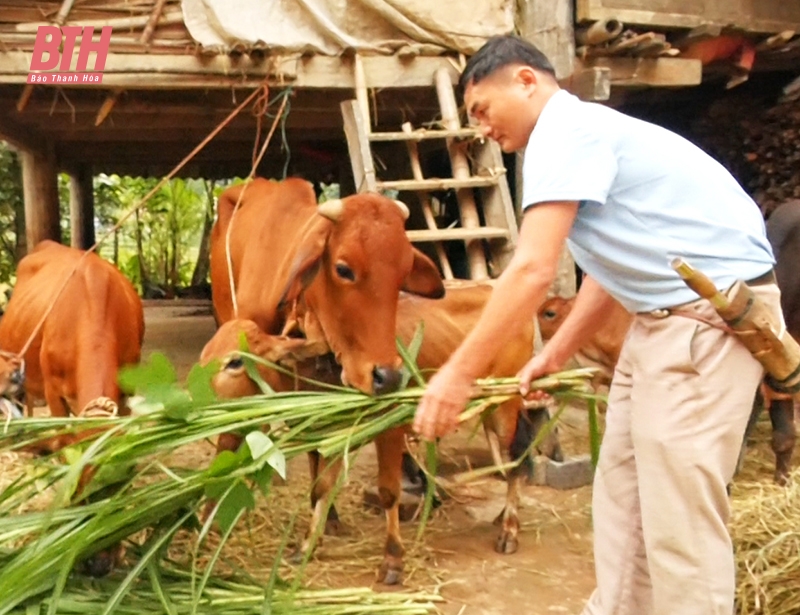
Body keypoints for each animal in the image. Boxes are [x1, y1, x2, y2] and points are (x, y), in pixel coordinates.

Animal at [200, 282, 552, 584]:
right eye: (205, 355)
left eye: (234, 362)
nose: (198, 402)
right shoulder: (331, 438)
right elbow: (320, 490)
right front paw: (306, 547)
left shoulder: (390, 431)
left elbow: (388, 493)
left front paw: (393, 560)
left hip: (504, 404)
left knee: (515, 458)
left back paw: (508, 530)